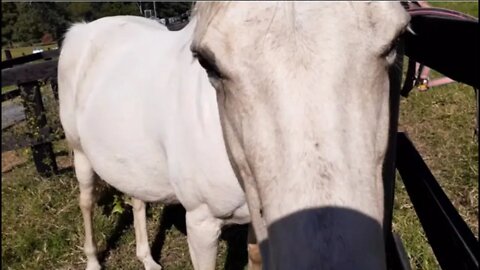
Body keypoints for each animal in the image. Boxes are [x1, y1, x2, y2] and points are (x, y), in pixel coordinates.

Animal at [57, 15, 255, 270]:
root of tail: (82, 29)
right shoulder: (202, 222)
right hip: (81, 154)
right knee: (86, 202)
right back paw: (92, 261)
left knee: (137, 199)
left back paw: (147, 259)